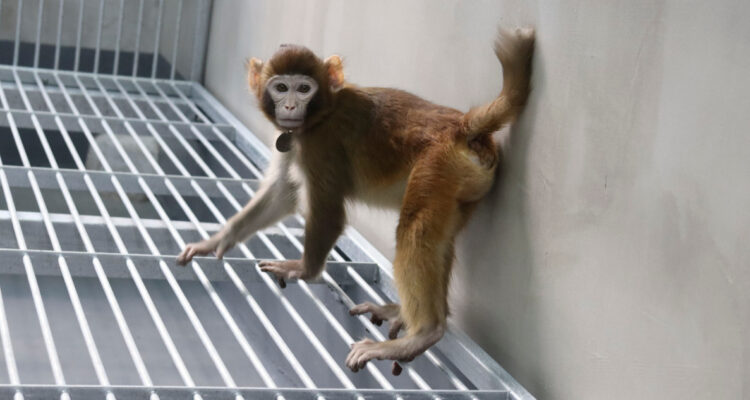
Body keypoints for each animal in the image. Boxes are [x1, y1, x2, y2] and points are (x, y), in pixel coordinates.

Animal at [176, 28, 535, 373]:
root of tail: (461, 126)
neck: (322, 113)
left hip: (437, 165)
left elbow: (329, 213)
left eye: (303, 88)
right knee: (438, 239)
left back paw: (422, 333)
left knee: (415, 231)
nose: (290, 107)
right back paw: (409, 314)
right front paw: (216, 241)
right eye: (280, 87)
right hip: (461, 184)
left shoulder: (321, 144)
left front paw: (305, 270)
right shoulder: (296, 140)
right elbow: (281, 193)